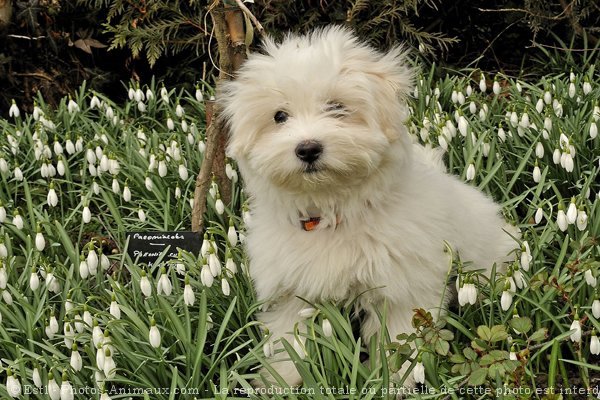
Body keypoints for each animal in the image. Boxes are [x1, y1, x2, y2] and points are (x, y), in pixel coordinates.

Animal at [220, 27, 516, 388]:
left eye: (337, 107)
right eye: (279, 116)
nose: (307, 148)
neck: (334, 209)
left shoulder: (402, 290)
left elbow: (397, 344)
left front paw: (393, 382)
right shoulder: (291, 292)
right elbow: (287, 342)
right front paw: (278, 382)